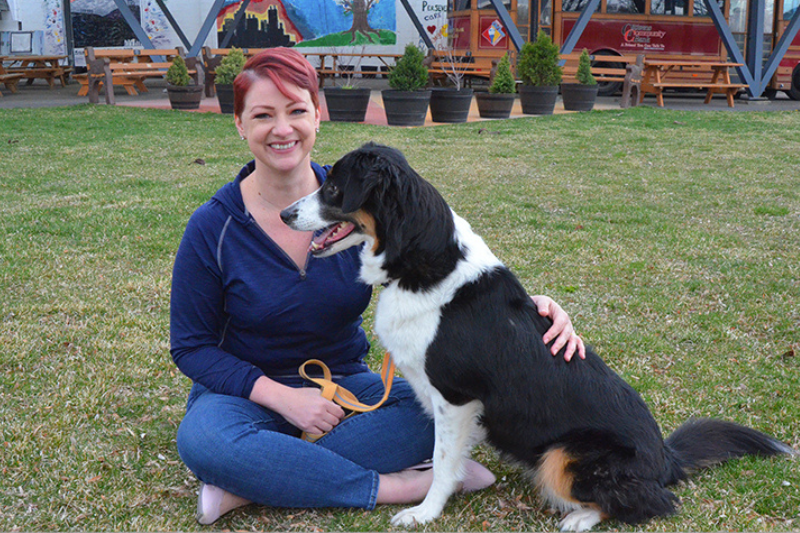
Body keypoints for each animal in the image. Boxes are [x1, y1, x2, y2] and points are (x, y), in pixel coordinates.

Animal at [282, 141, 792, 528]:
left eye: (332, 187)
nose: (285, 214)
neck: (420, 260)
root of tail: (665, 457)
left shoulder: (455, 398)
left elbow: (443, 464)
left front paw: (424, 512)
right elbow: (444, 459)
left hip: (563, 456)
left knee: (654, 503)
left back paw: (581, 517)